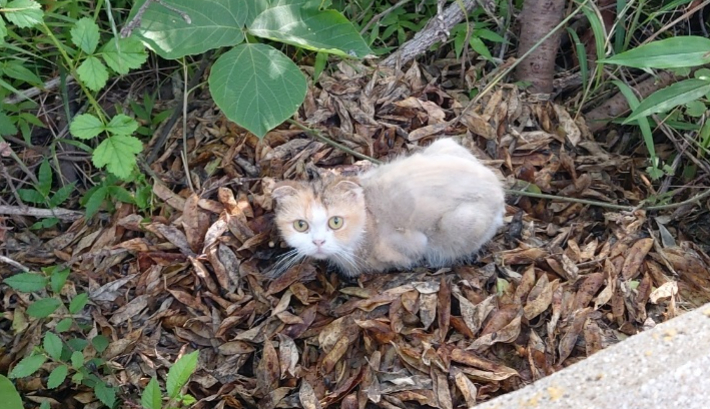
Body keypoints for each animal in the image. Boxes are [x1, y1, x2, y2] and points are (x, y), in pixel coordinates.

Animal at [272, 138, 506, 278]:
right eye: (301, 225)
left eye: (336, 222)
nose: (318, 242)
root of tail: (496, 185)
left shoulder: (410, 243)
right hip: (445, 143)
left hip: (460, 221)